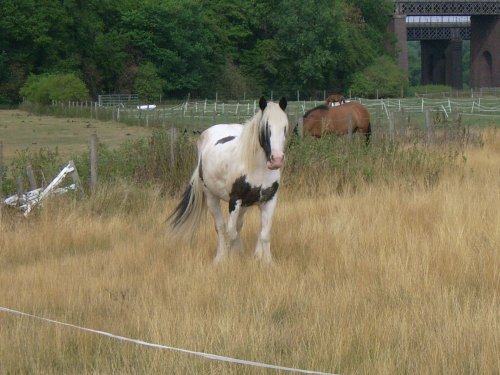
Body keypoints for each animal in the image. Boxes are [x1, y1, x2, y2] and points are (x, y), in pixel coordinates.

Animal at [171, 98, 290, 266]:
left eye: (284, 128)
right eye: (266, 128)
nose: (277, 160)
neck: (257, 167)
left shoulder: (269, 200)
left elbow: (265, 233)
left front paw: (266, 261)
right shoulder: (235, 201)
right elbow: (230, 232)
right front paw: (232, 260)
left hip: (245, 204)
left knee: (238, 226)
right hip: (212, 198)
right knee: (221, 228)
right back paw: (219, 258)